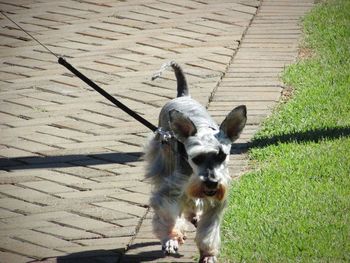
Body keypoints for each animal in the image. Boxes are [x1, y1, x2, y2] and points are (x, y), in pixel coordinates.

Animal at [144, 62, 246, 263]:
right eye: (196, 158)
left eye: (222, 155)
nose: (211, 183)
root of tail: (183, 96)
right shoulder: (171, 191)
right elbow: (168, 215)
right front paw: (171, 239)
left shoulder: (216, 204)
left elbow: (208, 232)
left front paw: (208, 254)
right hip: (162, 160)